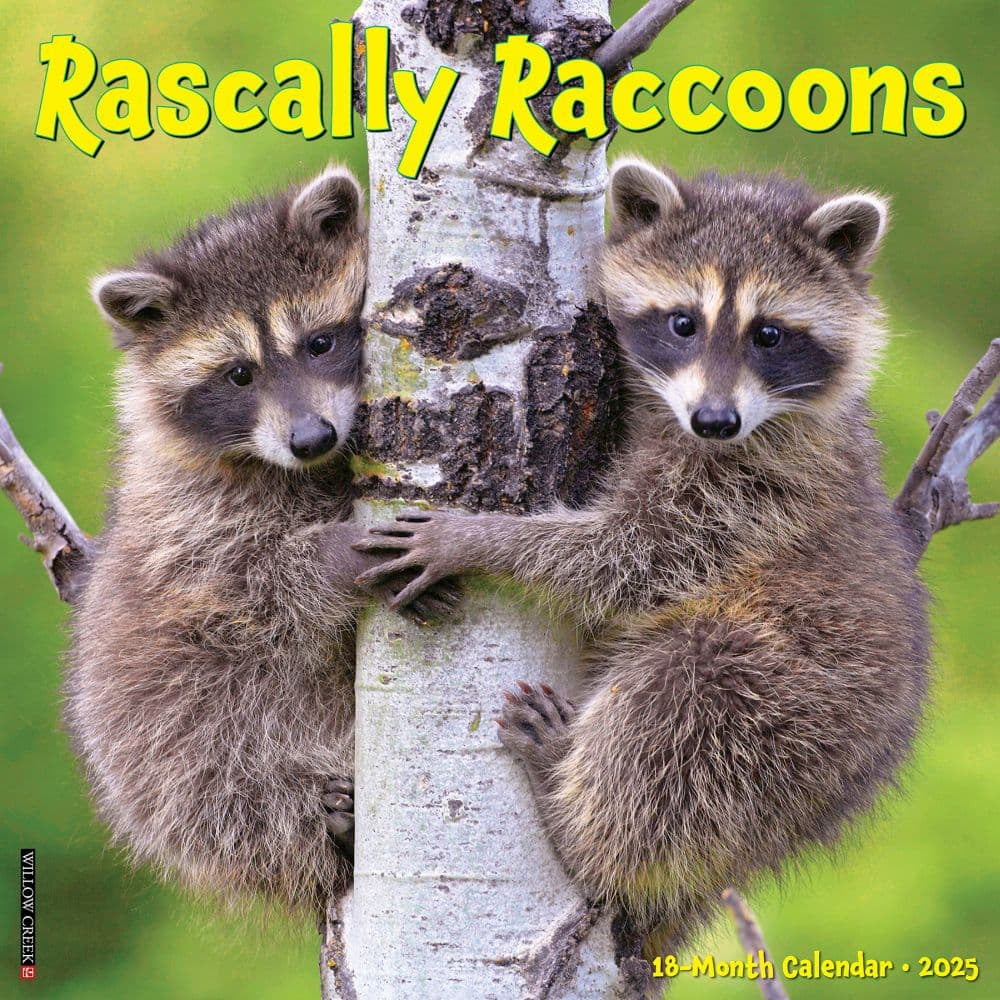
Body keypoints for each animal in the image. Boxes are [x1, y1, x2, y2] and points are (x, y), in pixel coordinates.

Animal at [65, 166, 454, 914]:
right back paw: (320, 822)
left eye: (319, 343)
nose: (311, 439)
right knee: (221, 788)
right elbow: (248, 588)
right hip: (157, 746)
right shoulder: (188, 519)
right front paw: (339, 556)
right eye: (238, 374)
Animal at [355, 159, 930, 964]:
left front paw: (481, 537)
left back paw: (575, 821)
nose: (715, 420)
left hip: (796, 709)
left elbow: (631, 558)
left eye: (769, 334)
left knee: (681, 701)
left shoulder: (755, 489)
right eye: (683, 322)